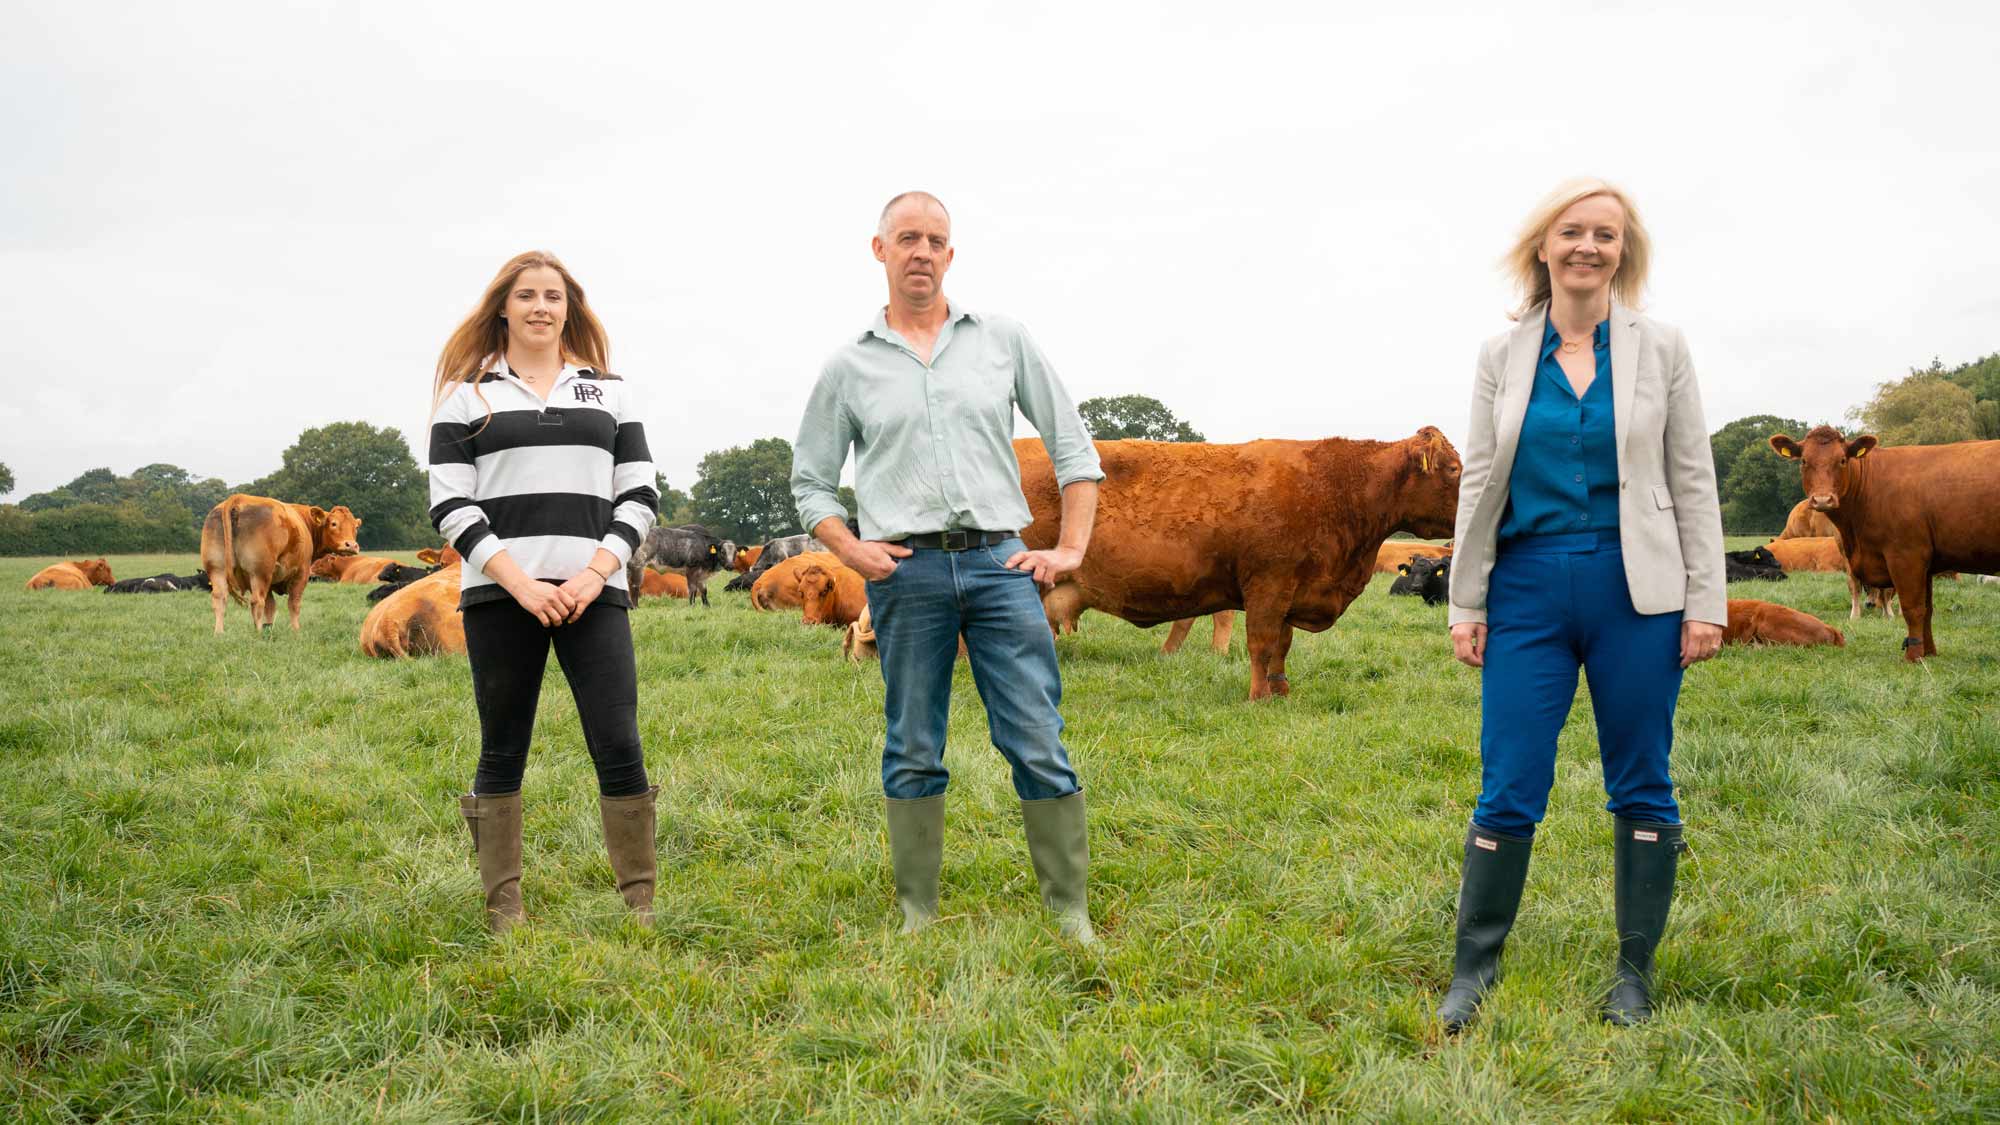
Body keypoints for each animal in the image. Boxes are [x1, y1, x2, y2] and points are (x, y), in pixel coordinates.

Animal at [203, 490, 364, 632]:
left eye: (356, 527)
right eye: (334, 524)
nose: (351, 545)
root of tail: (239, 499)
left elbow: (270, 606)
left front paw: (270, 627)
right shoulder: (302, 573)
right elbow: (294, 603)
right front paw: (295, 630)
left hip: (217, 569)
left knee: (219, 598)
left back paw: (219, 633)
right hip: (259, 573)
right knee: (257, 601)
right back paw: (258, 633)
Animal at [1024, 426, 1464, 696]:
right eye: (1455, 468)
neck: (1336, 488)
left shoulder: (1291, 591)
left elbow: (1283, 645)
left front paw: (1282, 690)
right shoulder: (1268, 586)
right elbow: (1261, 643)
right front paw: (1259, 696)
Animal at [1776, 426, 2000, 656]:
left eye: (1842, 460)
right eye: (1804, 461)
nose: (1822, 500)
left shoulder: (1906, 556)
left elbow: (1912, 608)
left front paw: (1913, 656)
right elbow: (1926, 609)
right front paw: (1929, 653)